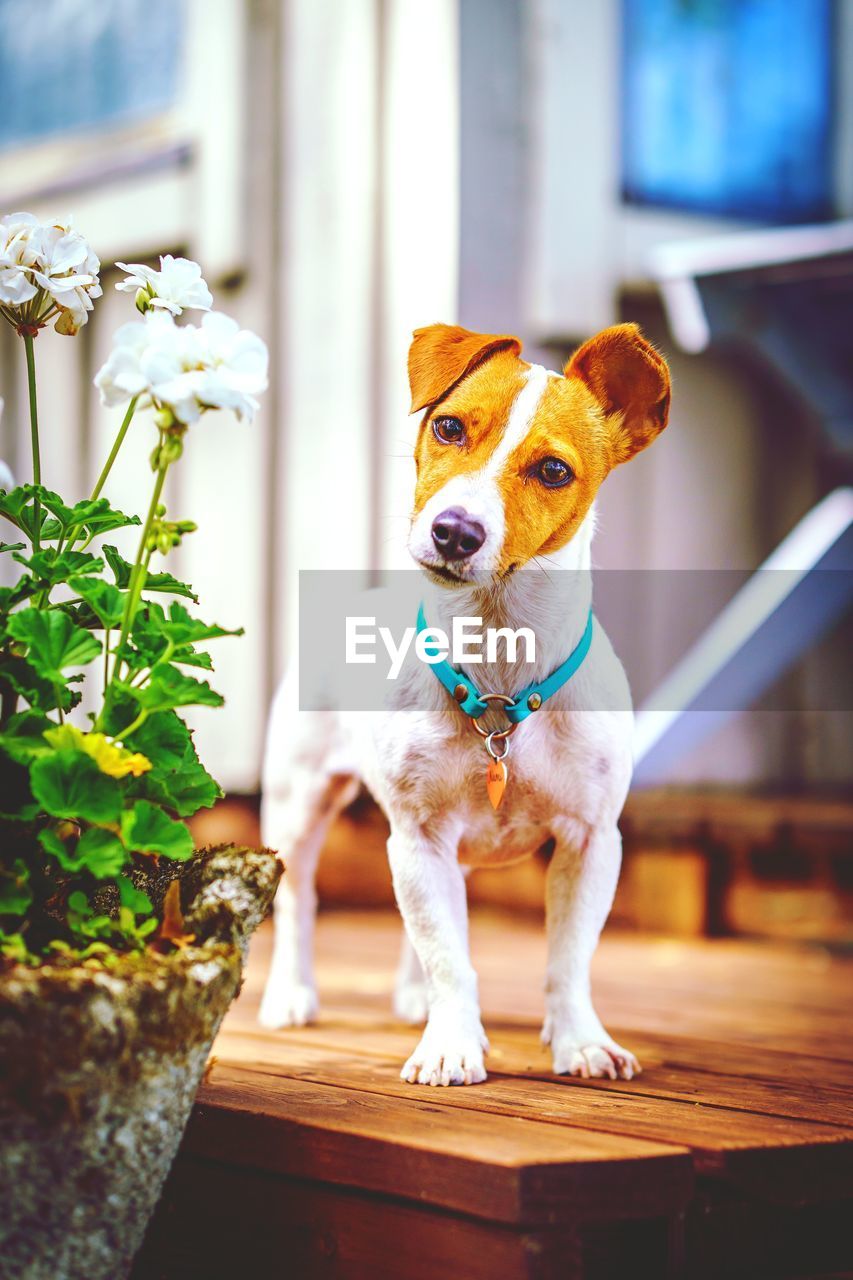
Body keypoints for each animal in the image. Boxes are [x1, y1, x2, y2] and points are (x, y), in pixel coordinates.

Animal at [256, 325, 666, 1085]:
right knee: (301, 899)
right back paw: (291, 994)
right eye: (447, 427)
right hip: (296, 805)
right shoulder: (418, 834)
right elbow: (448, 955)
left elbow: (568, 958)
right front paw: (451, 1042)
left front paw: (580, 1041)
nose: (454, 531)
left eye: (553, 471)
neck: (500, 668)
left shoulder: (592, 839)